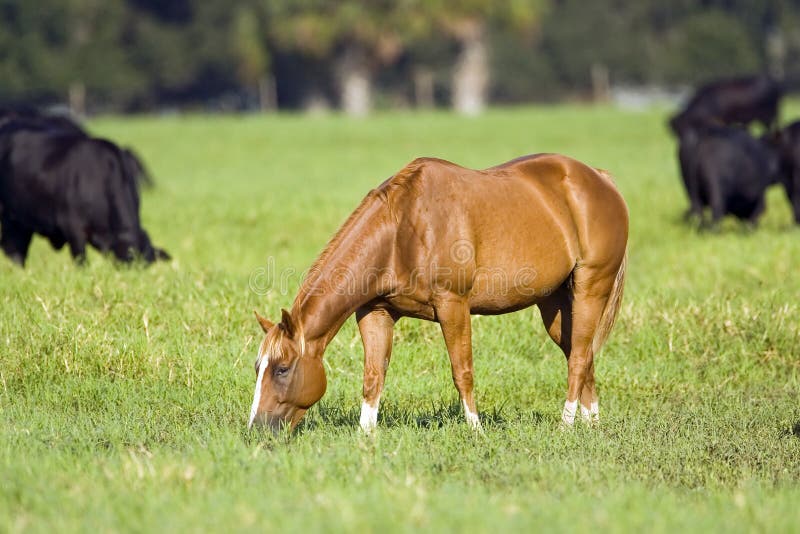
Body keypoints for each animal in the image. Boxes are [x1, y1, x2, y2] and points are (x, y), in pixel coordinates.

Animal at [247, 154, 628, 436]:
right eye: (257, 367)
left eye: (282, 368)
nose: (256, 429)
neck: (402, 228)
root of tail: (599, 179)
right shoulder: (375, 312)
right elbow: (373, 376)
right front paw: (365, 436)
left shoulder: (453, 306)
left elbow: (462, 371)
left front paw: (476, 432)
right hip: (556, 304)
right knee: (582, 354)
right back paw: (591, 425)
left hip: (592, 287)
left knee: (578, 359)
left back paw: (566, 426)